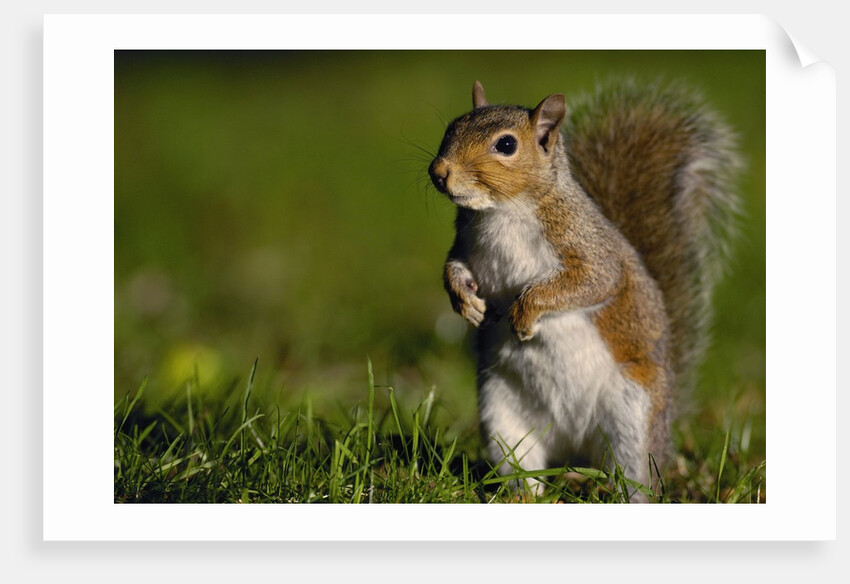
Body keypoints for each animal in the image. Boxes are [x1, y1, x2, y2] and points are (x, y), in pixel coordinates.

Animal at [428, 80, 739, 501]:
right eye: (452, 127)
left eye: (506, 145)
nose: (439, 172)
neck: (500, 211)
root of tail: (573, 446)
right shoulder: (466, 245)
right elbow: (453, 268)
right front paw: (466, 302)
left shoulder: (588, 248)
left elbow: (592, 282)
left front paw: (525, 313)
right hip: (502, 417)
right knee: (522, 467)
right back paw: (522, 495)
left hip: (633, 417)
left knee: (634, 475)